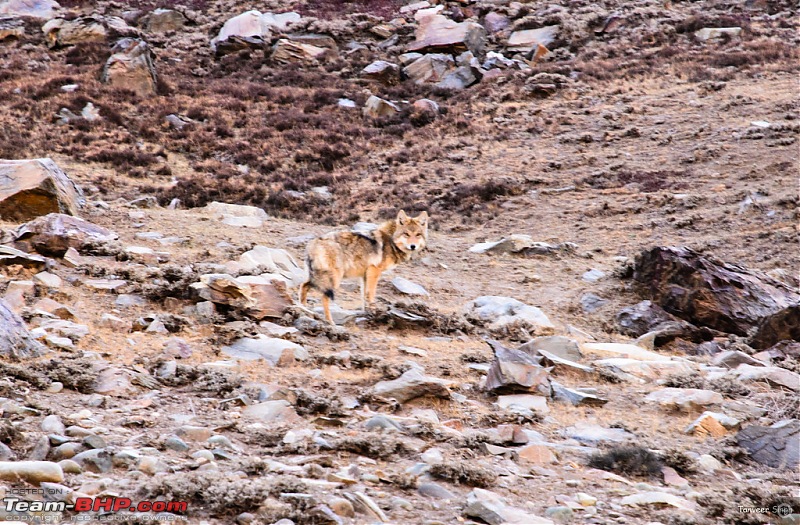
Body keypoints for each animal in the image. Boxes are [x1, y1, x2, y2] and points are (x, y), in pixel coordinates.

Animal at [298, 210, 428, 324]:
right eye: (406, 234)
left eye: (418, 235)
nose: (413, 246)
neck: (391, 241)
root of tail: (313, 243)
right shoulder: (374, 271)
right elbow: (371, 294)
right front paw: (374, 312)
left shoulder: (365, 275)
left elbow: (364, 295)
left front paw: (366, 313)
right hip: (334, 280)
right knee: (324, 298)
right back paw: (330, 322)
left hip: (318, 278)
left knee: (303, 286)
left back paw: (305, 311)